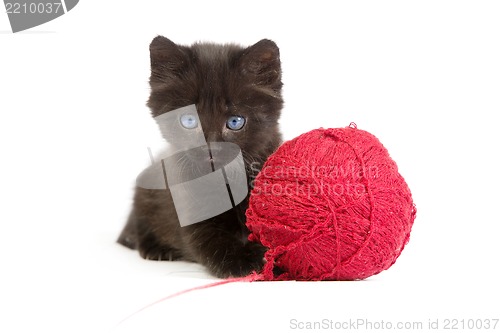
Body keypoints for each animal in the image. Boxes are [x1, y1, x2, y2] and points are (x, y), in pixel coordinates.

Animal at [115, 35, 284, 278]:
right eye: (188, 120)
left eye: (235, 122)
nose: (210, 148)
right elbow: (212, 241)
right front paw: (247, 261)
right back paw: (157, 249)